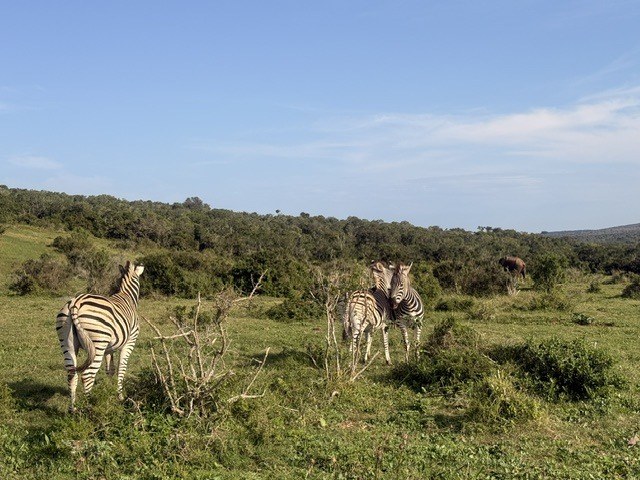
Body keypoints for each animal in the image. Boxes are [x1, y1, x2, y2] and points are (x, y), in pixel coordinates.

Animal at [55, 261, 144, 412]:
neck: (127, 296)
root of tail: (76, 303)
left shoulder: (109, 348)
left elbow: (110, 370)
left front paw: (108, 392)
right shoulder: (130, 341)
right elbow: (121, 368)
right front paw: (120, 396)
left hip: (67, 342)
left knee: (71, 374)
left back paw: (73, 409)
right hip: (98, 342)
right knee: (87, 375)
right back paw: (90, 406)